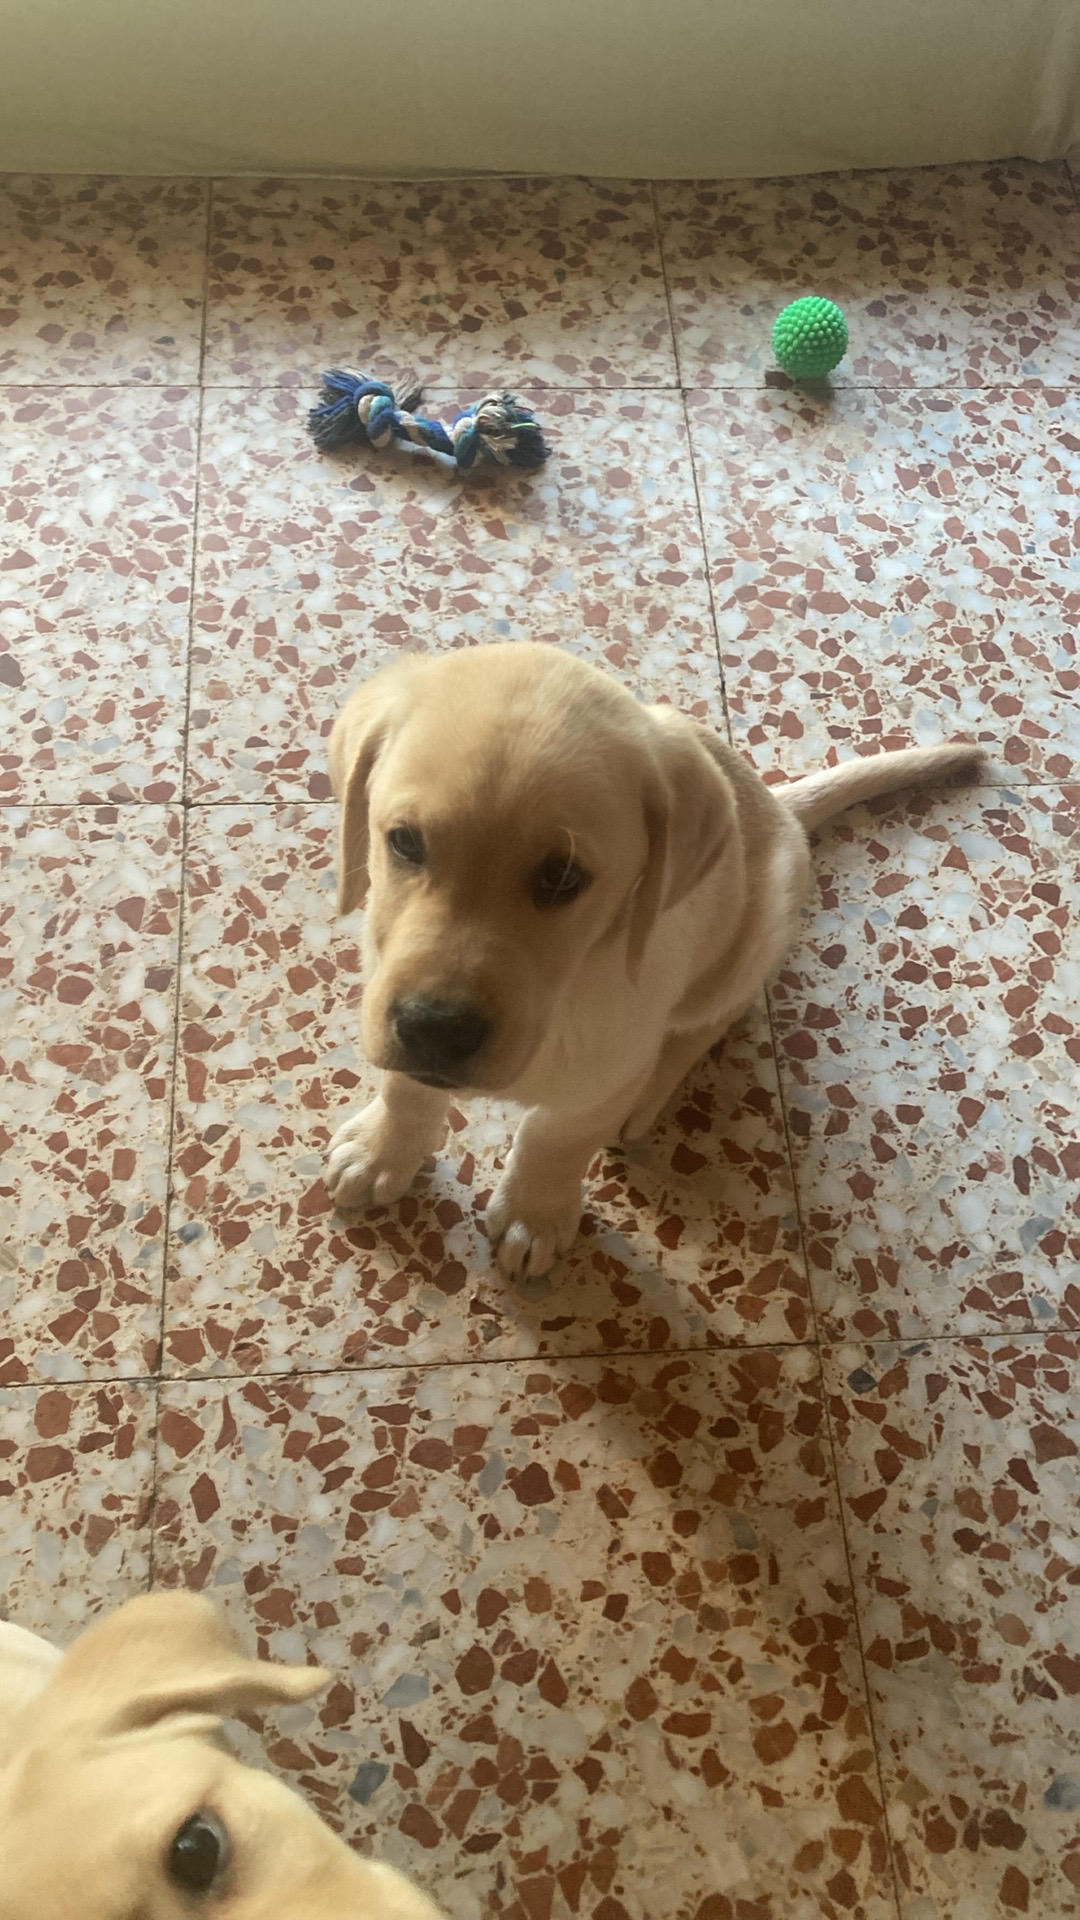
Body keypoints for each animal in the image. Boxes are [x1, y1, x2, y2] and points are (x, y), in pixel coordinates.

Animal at [326, 643, 983, 1278]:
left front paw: (534, 1214)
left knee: (710, 1018)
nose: (435, 1029)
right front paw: (381, 1151)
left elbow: (554, 1138)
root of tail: (776, 807)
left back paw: (650, 1095)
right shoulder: (388, 992)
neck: (568, 997)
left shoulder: (609, 1070)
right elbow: (405, 1091)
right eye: (405, 842)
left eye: (562, 877)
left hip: (752, 936)